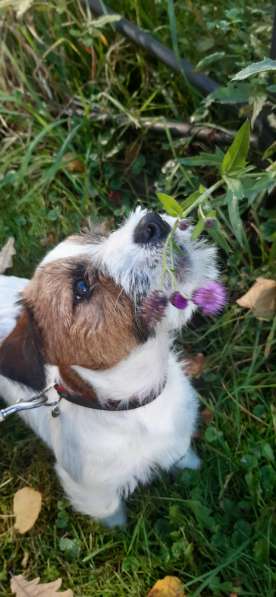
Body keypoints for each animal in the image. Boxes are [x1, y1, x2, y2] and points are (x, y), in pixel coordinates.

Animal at [0, 207, 218, 524]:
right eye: (81, 288)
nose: (150, 223)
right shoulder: (93, 491)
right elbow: (111, 513)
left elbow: (185, 459)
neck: (136, 407)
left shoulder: (177, 441)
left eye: (98, 237)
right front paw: (119, 528)